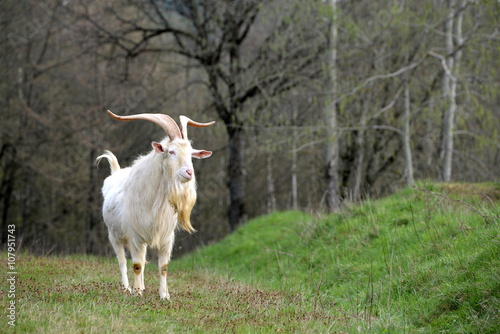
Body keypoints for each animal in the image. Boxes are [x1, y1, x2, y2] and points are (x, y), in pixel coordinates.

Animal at [96, 110, 214, 300]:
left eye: (191, 154)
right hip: (114, 235)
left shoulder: (166, 237)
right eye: (171, 151)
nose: (189, 172)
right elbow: (136, 265)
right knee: (122, 261)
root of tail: (115, 173)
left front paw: (164, 296)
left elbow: (163, 267)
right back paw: (127, 288)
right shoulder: (135, 235)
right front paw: (137, 293)